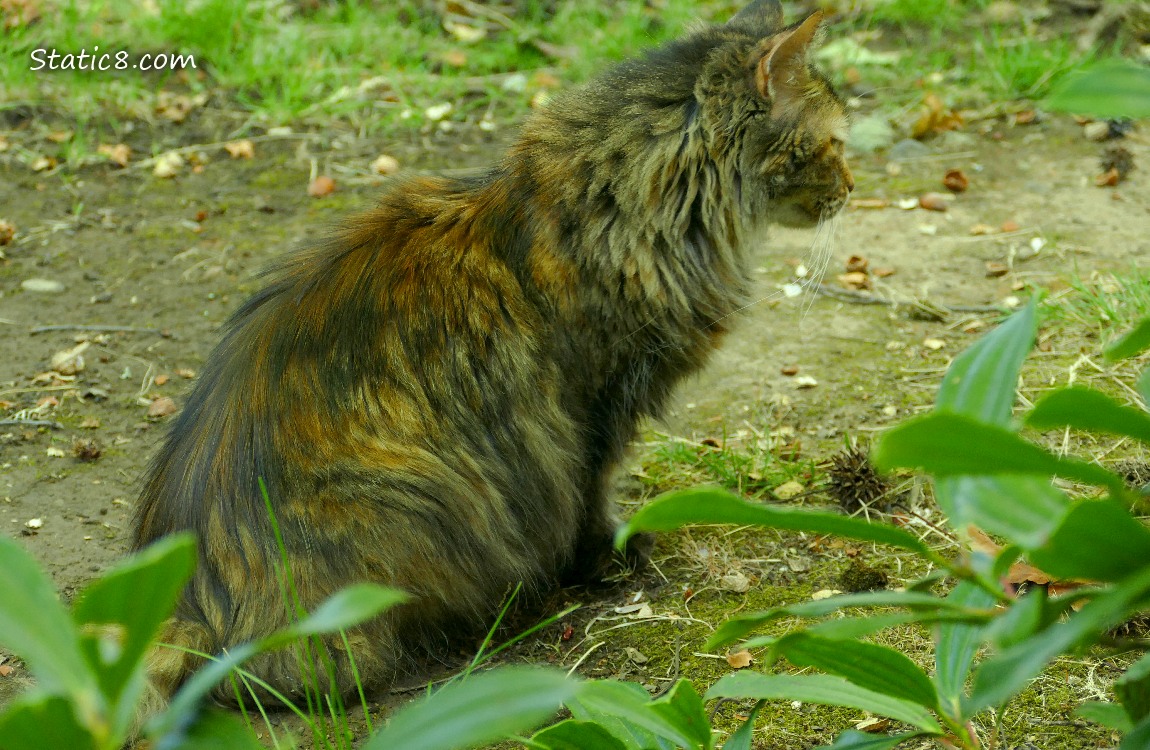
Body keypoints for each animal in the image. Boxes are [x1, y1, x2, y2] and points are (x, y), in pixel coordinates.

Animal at [132, 0, 855, 708]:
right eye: (838, 143)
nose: (852, 186)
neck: (628, 206)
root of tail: (190, 606)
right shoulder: (594, 403)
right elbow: (591, 492)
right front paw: (609, 558)